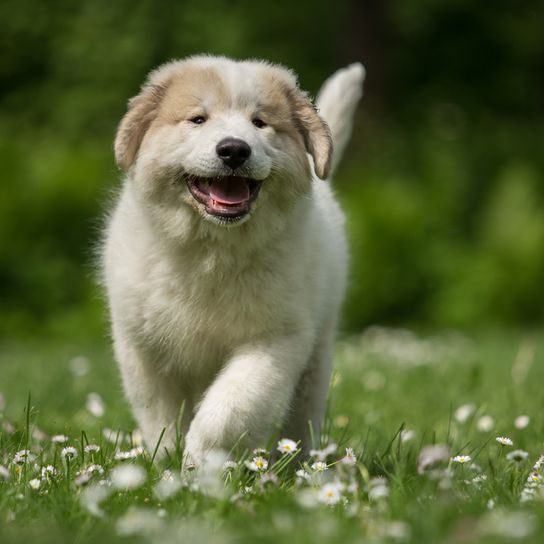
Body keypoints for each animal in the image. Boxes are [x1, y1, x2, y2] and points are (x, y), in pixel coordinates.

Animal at [102, 55, 366, 466]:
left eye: (259, 122)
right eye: (198, 119)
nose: (234, 150)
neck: (214, 250)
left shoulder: (275, 339)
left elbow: (232, 404)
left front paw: (201, 457)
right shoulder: (143, 348)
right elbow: (159, 414)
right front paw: (165, 461)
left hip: (318, 353)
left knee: (302, 412)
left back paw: (295, 463)